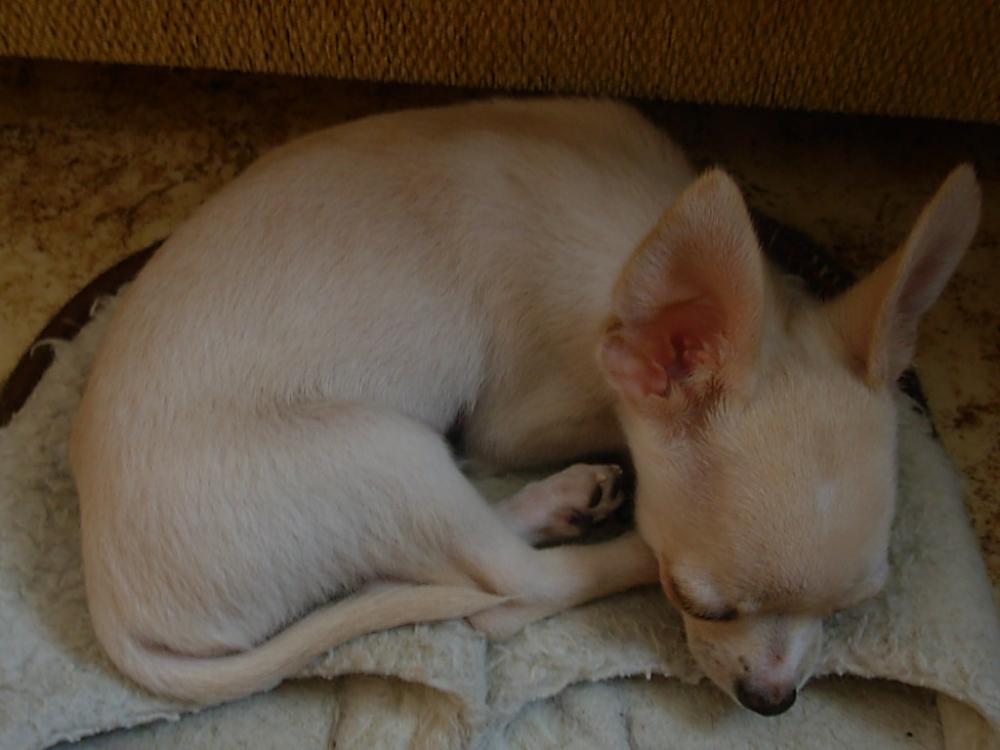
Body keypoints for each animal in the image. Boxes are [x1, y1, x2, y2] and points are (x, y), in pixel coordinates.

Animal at [70, 98, 980, 715]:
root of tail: (111, 604)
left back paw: (568, 499)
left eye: (852, 608)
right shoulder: (518, 420)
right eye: (700, 604)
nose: (773, 700)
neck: (632, 248)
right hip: (383, 451)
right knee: (511, 582)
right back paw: (602, 541)